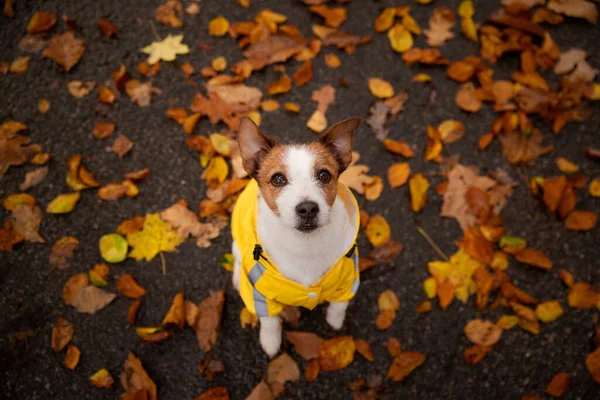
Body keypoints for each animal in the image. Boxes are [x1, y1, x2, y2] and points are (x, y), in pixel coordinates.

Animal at [231, 115, 360, 356]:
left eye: (324, 175)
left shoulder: (349, 278)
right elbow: (270, 320)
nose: (308, 208)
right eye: (278, 179)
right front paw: (270, 342)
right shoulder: (260, 293)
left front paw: (335, 321)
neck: (305, 246)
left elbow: (340, 305)